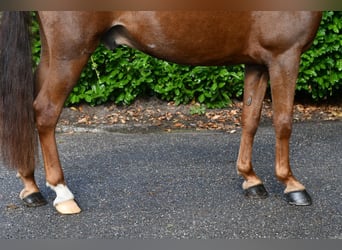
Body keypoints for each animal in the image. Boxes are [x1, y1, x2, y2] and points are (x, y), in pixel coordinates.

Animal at [0, 11, 320, 214]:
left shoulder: (257, 62)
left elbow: (250, 120)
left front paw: (251, 179)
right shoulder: (284, 55)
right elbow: (283, 122)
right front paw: (292, 185)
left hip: (53, 52)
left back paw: (31, 188)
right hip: (71, 51)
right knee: (45, 112)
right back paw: (62, 193)